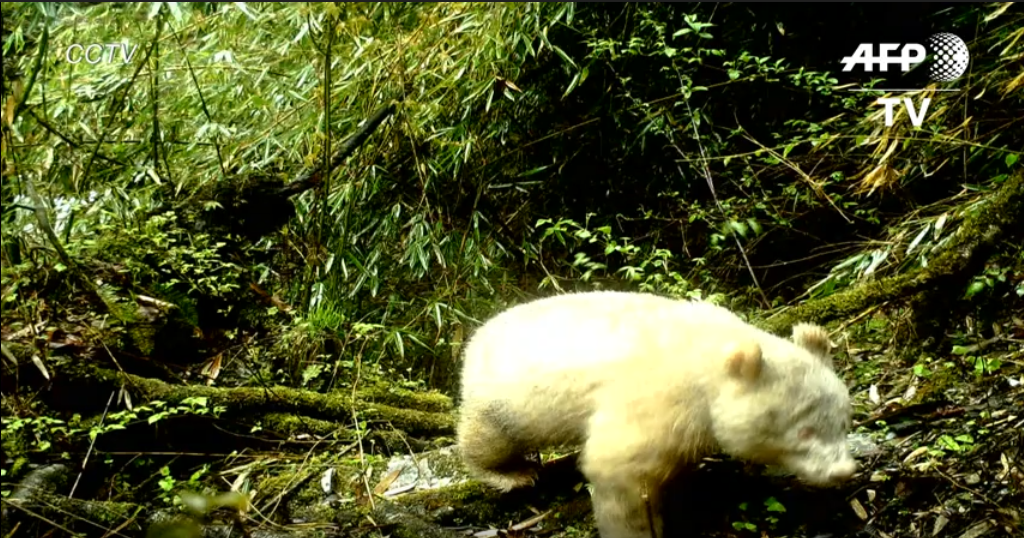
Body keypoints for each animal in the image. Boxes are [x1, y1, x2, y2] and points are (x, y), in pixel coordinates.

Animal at [456, 291, 856, 536]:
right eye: (804, 430)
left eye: (843, 423)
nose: (843, 471)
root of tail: (477, 335)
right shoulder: (660, 394)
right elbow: (619, 468)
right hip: (504, 395)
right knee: (489, 437)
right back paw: (512, 473)